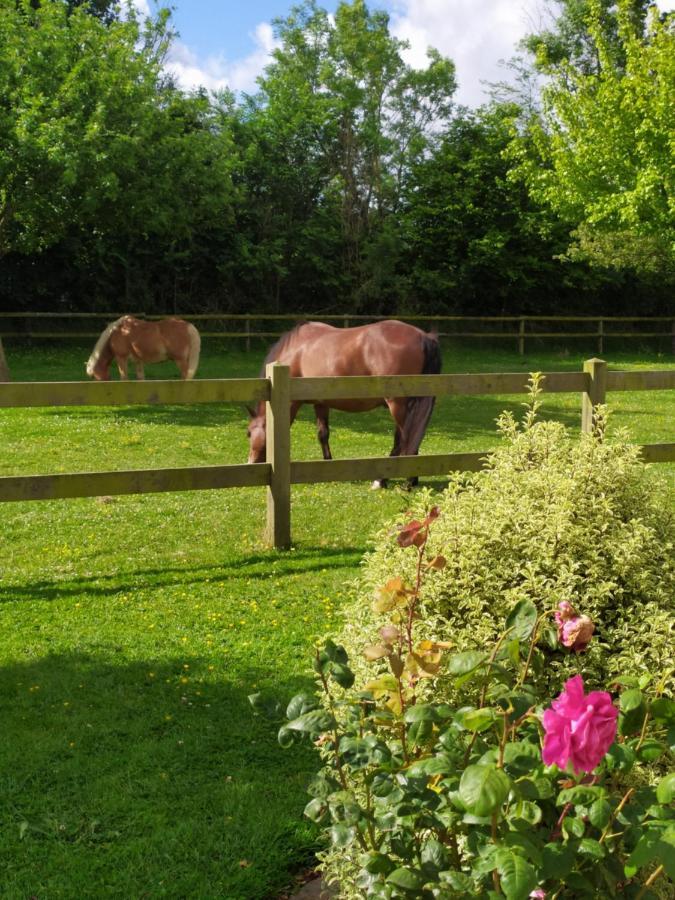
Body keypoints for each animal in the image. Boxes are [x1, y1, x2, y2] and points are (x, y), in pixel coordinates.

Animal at [248, 316, 444, 486]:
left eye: (248, 433)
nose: (251, 463)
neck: (295, 350)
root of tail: (424, 337)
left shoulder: (292, 403)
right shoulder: (321, 403)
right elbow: (323, 434)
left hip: (397, 405)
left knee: (404, 438)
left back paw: (389, 481)